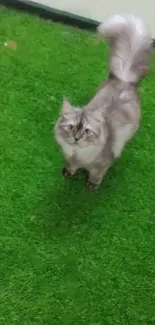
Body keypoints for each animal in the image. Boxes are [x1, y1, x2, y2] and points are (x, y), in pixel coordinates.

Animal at [54, 13, 151, 189]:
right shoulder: (68, 157)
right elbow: (70, 166)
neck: (78, 154)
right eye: (71, 128)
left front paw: (92, 186)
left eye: (87, 131)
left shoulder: (102, 165)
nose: (77, 138)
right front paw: (67, 174)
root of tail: (124, 79)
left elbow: (96, 175)